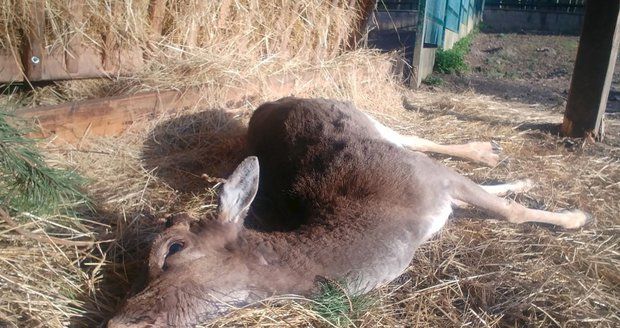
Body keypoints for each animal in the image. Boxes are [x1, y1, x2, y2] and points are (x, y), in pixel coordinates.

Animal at [108, 98, 592, 328]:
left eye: (172, 249)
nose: (119, 320)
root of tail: (268, 105)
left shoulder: (433, 180)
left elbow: (510, 213)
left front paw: (576, 218)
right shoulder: (436, 186)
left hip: (369, 118)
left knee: (418, 138)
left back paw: (491, 154)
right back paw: (512, 172)